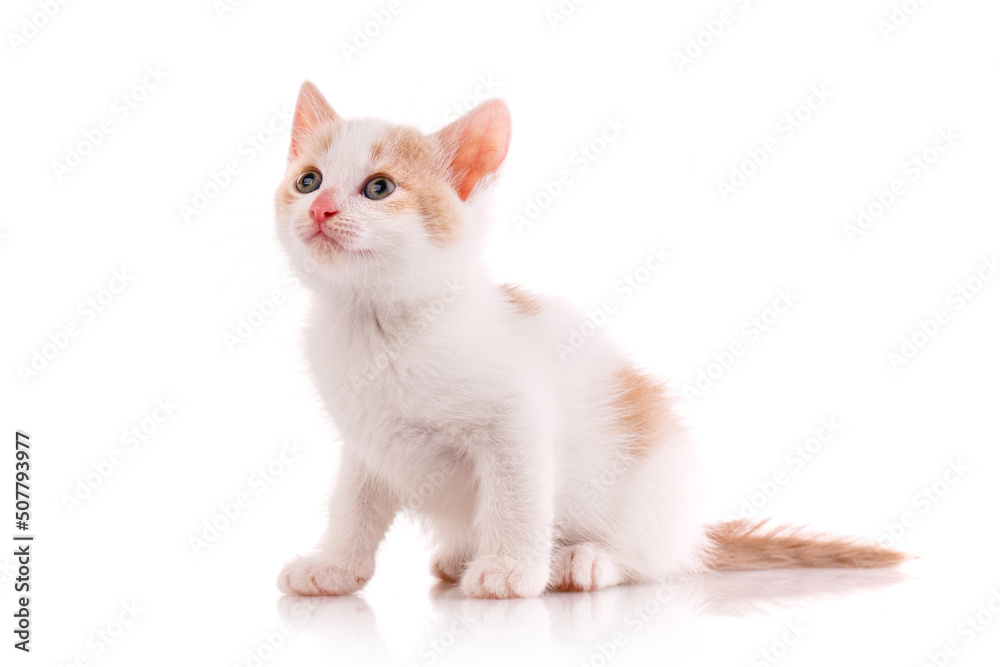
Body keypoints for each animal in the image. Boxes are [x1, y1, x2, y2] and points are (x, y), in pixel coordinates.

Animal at [274, 82, 908, 600]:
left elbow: (518, 497)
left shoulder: (518, 419)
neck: (374, 325)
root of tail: (693, 531)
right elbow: (353, 503)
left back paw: (583, 561)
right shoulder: (366, 440)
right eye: (308, 180)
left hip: (653, 492)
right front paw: (335, 566)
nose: (321, 209)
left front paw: (510, 570)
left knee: (653, 561)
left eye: (379, 188)